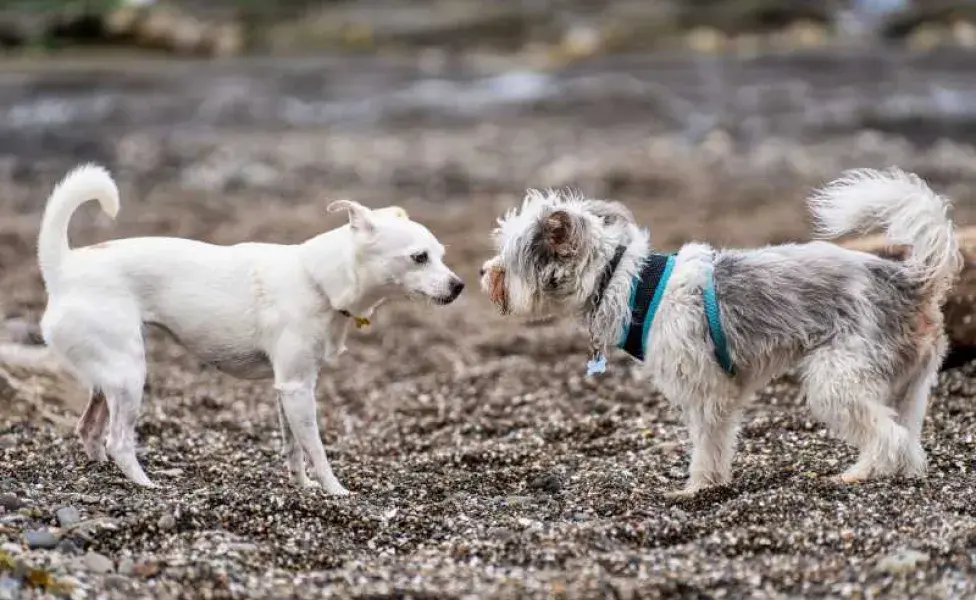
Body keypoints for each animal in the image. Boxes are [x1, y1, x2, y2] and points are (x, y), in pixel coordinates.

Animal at [38, 164, 466, 492]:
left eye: (441, 255)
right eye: (419, 258)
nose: (459, 285)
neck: (320, 280)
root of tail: (63, 267)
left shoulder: (290, 388)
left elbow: (294, 448)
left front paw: (303, 487)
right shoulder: (297, 388)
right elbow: (317, 450)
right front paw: (335, 491)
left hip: (108, 377)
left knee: (89, 429)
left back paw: (103, 472)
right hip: (130, 375)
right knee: (119, 441)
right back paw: (146, 485)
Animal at [480, 170, 960, 496]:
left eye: (508, 255)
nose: (484, 272)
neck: (624, 280)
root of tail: (909, 279)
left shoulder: (706, 390)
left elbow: (707, 445)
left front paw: (697, 488)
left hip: (837, 379)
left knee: (890, 438)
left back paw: (861, 474)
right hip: (908, 386)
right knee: (908, 440)